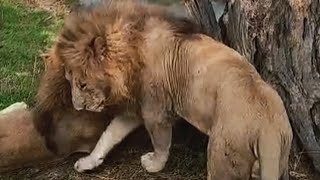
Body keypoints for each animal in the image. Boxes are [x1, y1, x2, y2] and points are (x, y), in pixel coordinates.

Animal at [50, 0, 292, 179]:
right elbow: (108, 135)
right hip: (277, 158)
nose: (76, 107)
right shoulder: (135, 108)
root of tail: (269, 126)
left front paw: (153, 165)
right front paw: (88, 162)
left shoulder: (155, 111)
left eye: (82, 84)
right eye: (69, 81)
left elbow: (161, 143)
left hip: (222, 156)